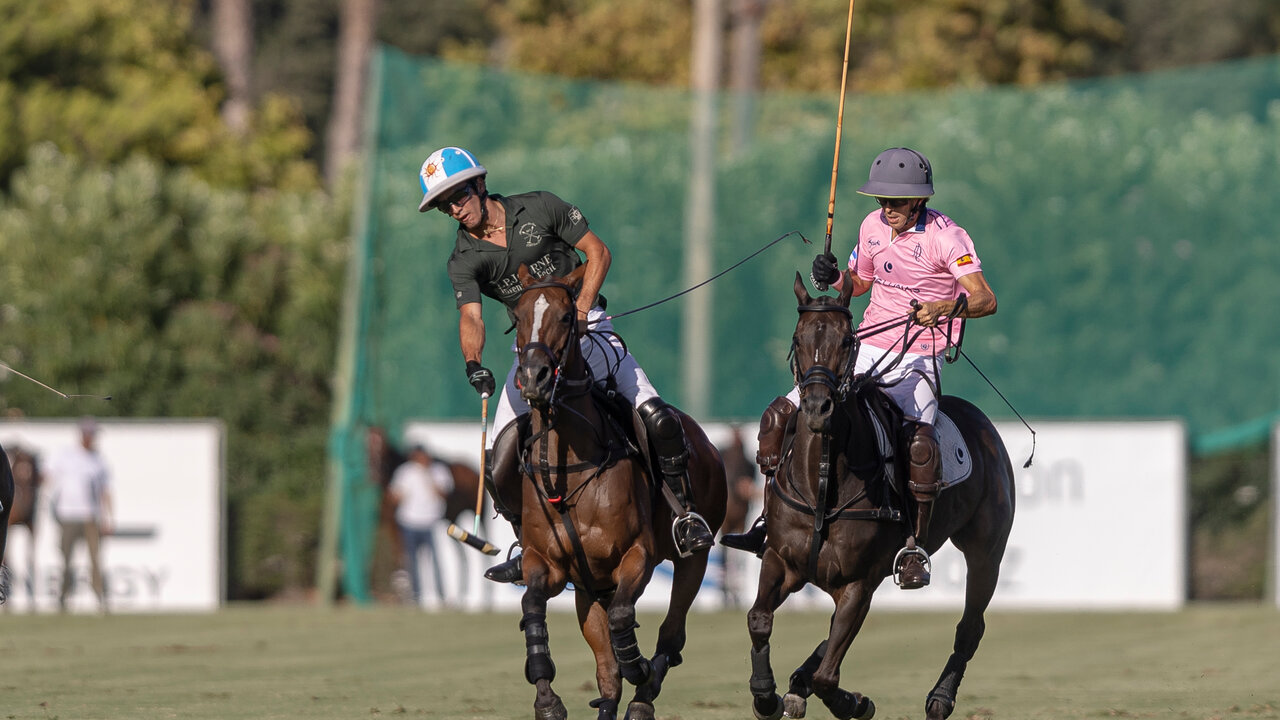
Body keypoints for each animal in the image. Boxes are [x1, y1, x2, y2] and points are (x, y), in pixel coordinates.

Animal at [494, 263, 727, 717]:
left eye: (568, 316)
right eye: (518, 317)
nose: (532, 378)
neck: (569, 469)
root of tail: (707, 442)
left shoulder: (636, 556)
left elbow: (624, 620)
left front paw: (640, 667)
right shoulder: (547, 565)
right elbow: (532, 608)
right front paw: (547, 699)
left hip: (694, 558)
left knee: (671, 635)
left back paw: (644, 693)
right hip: (589, 590)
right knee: (607, 669)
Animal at [747, 270, 1013, 717]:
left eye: (846, 341)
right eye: (798, 339)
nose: (817, 407)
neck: (822, 484)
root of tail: (985, 426)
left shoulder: (858, 582)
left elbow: (829, 675)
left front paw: (854, 703)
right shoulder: (780, 560)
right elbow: (759, 620)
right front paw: (766, 695)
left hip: (985, 550)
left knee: (970, 626)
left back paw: (940, 699)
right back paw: (796, 682)